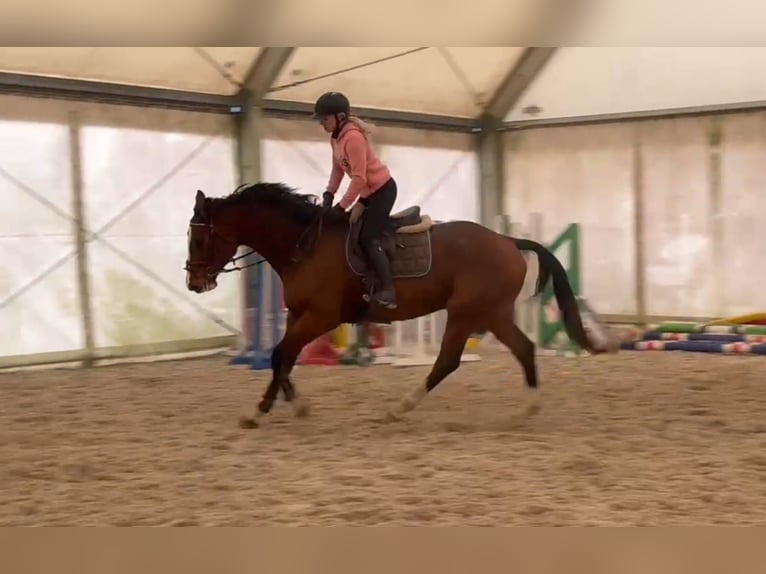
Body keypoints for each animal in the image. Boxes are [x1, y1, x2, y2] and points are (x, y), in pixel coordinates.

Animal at [184, 182, 612, 429]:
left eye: (200, 239)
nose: (194, 282)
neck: (304, 244)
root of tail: (507, 241)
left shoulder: (322, 316)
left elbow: (280, 355)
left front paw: (261, 410)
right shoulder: (300, 315)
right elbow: (282, 358)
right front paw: (290, 403)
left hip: (466, 312)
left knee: (447, 361)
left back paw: (400, 408)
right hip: (491, 313)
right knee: (523, 348)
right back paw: (528, 409)